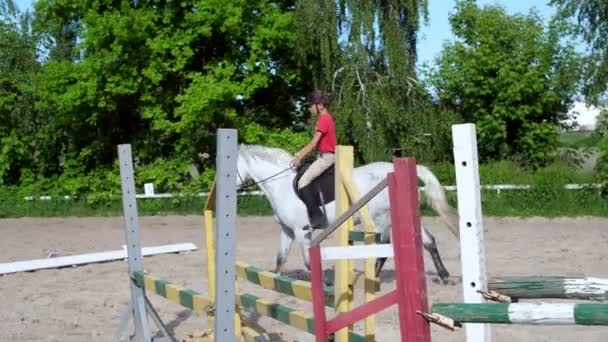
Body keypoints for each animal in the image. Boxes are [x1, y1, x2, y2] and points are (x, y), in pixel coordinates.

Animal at [235, 144, 458, 284]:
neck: (281, 185)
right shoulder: (287, 231)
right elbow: (280, 259)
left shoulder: (301, 231)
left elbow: (308, 262)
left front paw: (325, 283)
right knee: (428, 241)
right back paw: (445, 276)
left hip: (381, 219)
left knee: (382, 249)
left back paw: (372, 278)